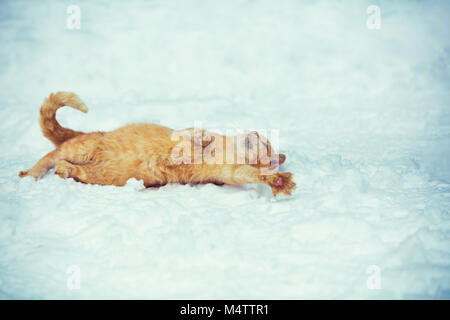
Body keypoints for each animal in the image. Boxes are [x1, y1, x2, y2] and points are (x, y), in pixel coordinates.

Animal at [18, 91, 296, 196]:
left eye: (267, 148)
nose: (257, 133)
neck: (227, 150)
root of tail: (99, 132)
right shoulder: (185, 131)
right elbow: (191, 133)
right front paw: (201, 139)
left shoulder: (230, 173)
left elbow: (249, 174)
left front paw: (277, 181)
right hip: (81, 148)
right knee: (49, 157)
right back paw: (30, 175)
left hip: (94, 174)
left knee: (70, 168)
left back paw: (64, 171)